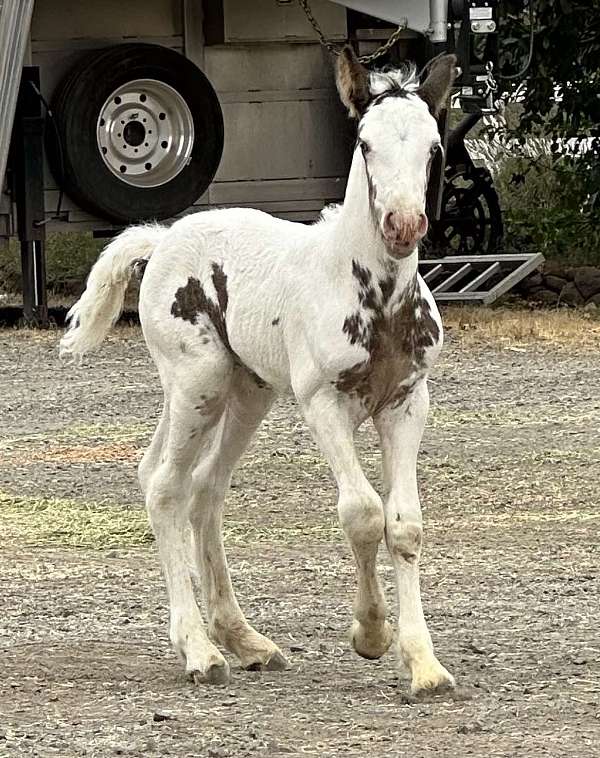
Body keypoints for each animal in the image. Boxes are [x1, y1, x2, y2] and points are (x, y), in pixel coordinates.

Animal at [59, 50, 454, 696]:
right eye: (364, 143)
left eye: (433, 146)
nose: (403, 225)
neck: (373, 293)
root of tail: (164, 237)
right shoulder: (323, 404)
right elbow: (362, 513)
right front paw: (370, 634)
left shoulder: (405, 403)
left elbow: (404, 524)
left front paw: (422, 662)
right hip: (198, 383)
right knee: (166, 485)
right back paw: (199, 650)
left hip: (246, 393)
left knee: (203, 488)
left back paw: (244, 639)